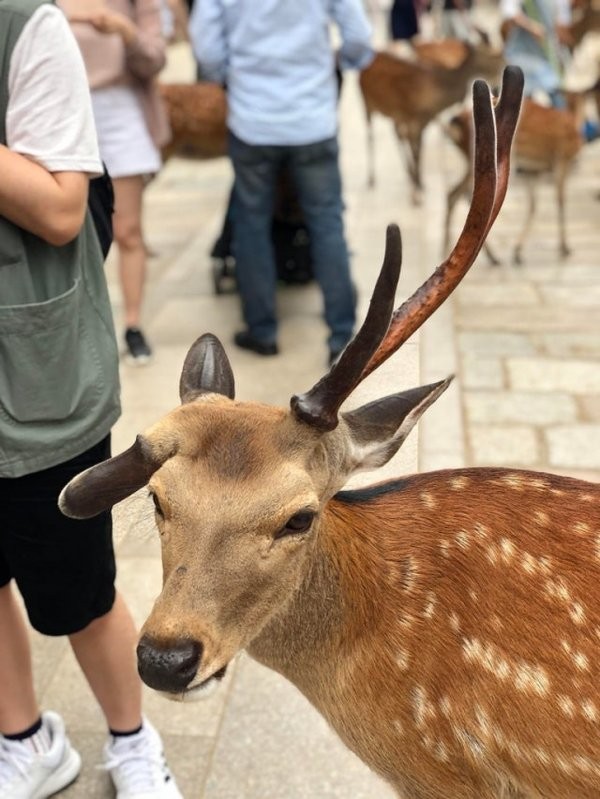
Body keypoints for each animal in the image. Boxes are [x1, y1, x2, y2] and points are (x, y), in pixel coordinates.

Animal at [358, 39, 504, 205]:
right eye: (489, 54)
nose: (503, 62)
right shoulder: (414, 118)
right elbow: (416, 152)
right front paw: (417, 193)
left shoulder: (421, 120)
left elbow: (418, 150)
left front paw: (420, 184)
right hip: (366, 100)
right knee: (370, 135)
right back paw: (371, 178)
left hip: (394, 113)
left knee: (396, 134)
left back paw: (408, 174)